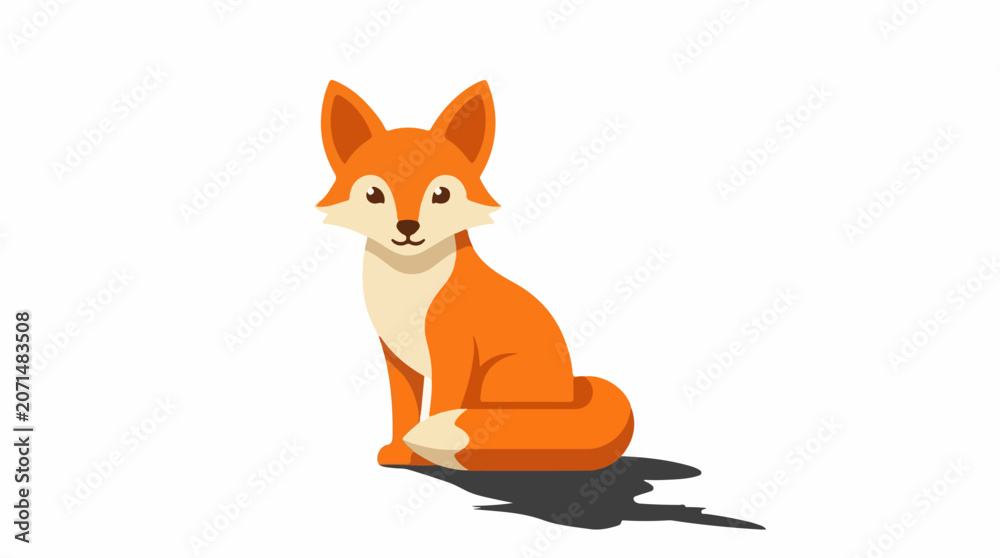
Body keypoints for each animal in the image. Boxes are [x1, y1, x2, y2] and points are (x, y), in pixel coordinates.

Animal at [316, 80, 633, 471]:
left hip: (498, 379)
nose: (407, 227)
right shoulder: (396, 356)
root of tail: (574, 390)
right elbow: (404, 411)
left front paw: (418, 457)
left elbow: (438, 406)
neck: (409, 286)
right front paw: (397, 451)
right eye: (374, 194)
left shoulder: (454, 353)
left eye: (440, 194)